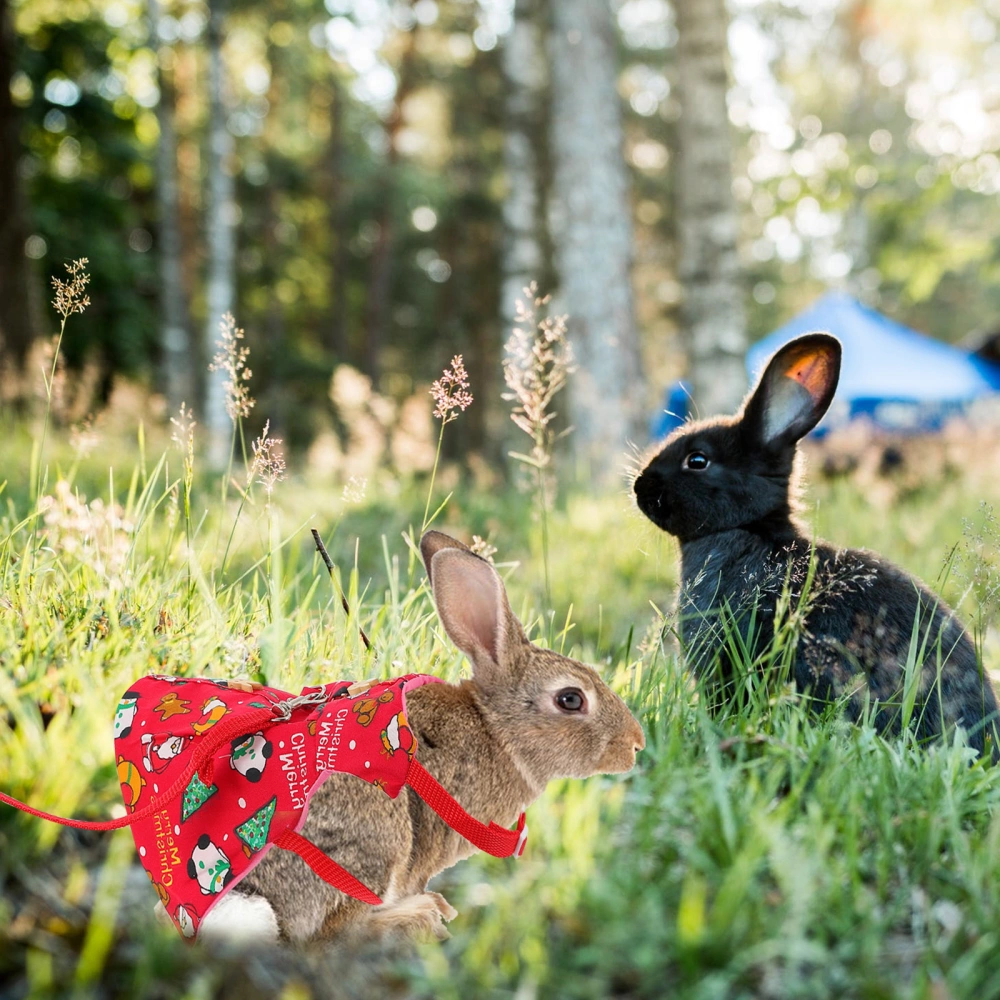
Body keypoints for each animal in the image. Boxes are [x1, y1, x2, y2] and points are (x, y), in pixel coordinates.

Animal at [190, 532, 644, 944]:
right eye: (571, 699)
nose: (635, 744)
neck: (495, 729)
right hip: (378, 832)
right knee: (334, 933)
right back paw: (419, 917)